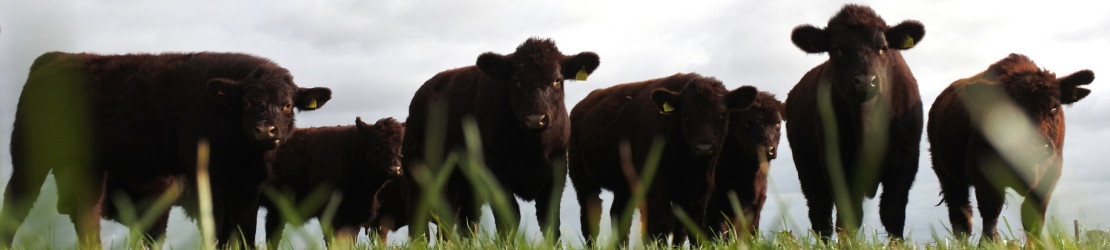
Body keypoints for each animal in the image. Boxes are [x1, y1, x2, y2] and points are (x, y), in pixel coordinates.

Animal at [2, 51, 328, 247]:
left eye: (287, 105)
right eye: (246, 103)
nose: (264, 130)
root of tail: (56, 57)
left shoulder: (248, 185)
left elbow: (244, 232)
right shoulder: (209, 179)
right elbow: (218, 229)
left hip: (88, 167)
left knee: (86, 214)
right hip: (27, 157)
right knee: (15, 206)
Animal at [399, 38, 599, 238]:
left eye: (557, 80)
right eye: (516, 81)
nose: (536, 119)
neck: (532, 149)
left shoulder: (556, 174)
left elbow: (549, 222)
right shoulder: (495, 175)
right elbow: (509, 218)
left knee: (461, 222)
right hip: (418, 174)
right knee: (420, 219)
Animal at [568, 72, 759, 245]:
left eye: (721, 114)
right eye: (686, 115)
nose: (704, 147)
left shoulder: (700, 190)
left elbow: (694, 228)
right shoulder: (655, 184)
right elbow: (661, 224)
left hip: (624, 185)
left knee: (619, 216)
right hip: (582, 180)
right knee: (591, 218)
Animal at [781, 3, 927, 238]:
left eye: (883, 47)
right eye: (836, 49)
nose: (865, 80)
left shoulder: (906, 159)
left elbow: (892, 212)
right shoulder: (836, 163)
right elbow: (848, 217)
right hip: (807, 169)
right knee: (820, 215)